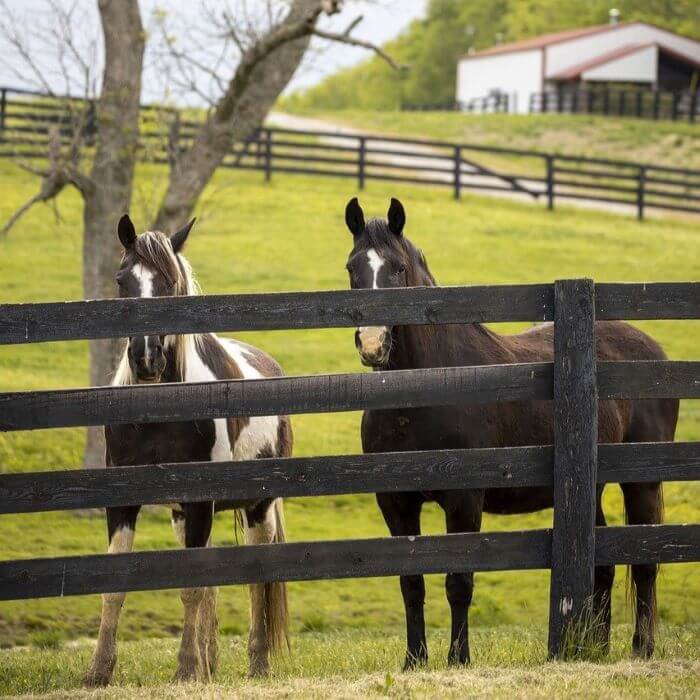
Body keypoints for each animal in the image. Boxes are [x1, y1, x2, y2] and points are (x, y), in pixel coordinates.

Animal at [85, 216, 292, 688]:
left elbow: (193, 587)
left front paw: (184, 669)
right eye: (122, 280)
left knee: (257, 580)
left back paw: (257, 663)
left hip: (257, 507)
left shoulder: (200, 503)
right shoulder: (123, 502)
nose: (145, 359)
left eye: (168, 282)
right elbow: (115, 586)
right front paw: (99, 671)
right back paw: (210, 662)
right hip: (186, 515)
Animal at [344, 196, 680, 668]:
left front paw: (459, 659)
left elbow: (459, 582)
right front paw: (414, 661)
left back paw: (641, 649)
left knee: (645, 564)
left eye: (397, 268)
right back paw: (594, 648)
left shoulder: (465, 499)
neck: (427, 386)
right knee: (603, 566)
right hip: (590, 488)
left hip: (643, 481)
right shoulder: (395, 502)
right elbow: (411, 583)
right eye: (353, 267)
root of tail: (651, 348)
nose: (373, 343)